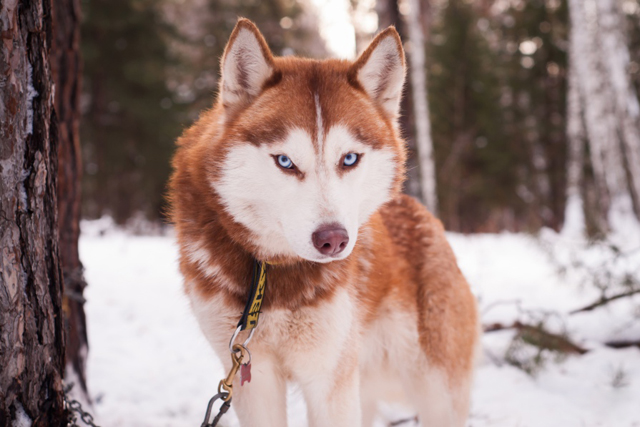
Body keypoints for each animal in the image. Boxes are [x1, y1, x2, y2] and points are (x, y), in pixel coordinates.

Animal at [168, 18, 478, 426]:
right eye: (285, 161)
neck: (273, 277)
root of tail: (425, 216)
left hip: (434, 392)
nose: (333, 239)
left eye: (349, 158)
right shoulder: (254, 376)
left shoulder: (329, 377)